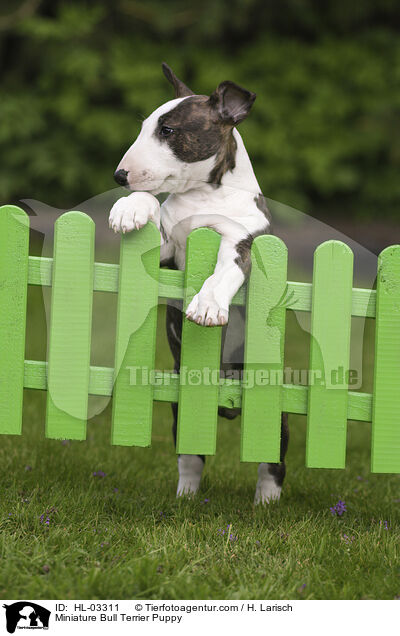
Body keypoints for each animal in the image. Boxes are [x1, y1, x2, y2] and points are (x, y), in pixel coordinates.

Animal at [108, 63, 288, 502]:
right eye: (146, 127)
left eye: (169, 130)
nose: (119, 176)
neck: (205, 196)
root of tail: (226, 407)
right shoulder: (165, 258)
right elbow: (152, 204)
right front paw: (129, 209)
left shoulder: (243, 245)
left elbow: (223, 269)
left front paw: (207, 307)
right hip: (179, 409)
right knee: (191, 457)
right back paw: (185, 496)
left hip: (277, 413)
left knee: (272, 462)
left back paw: (266, 502)